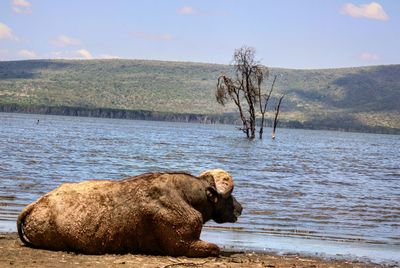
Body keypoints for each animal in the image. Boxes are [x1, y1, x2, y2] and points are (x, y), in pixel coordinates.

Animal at [17, 170, 242, 258]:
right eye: (229, 196)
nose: (240, 208)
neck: (187, 195)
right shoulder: (185, 244)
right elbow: (215, 248)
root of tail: (36, 204)